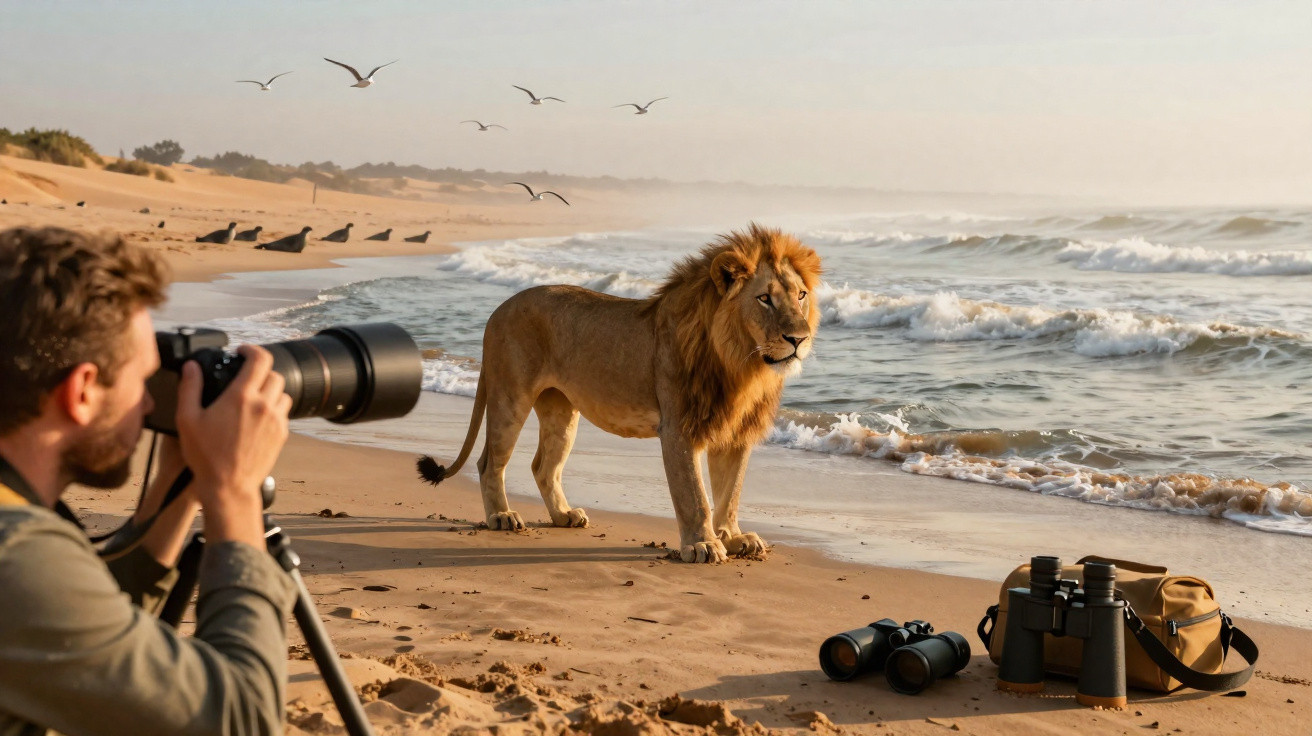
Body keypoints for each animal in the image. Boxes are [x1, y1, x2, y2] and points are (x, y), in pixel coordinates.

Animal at [417, 223, 822, 563]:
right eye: (765, 299)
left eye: (801, 295)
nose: (799, 339)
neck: (743, 365)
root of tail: (497, 311)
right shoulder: (678, 429)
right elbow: (694, 496)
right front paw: (703, 545)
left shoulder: (736, 431)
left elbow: (730, 492)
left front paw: (734, 538)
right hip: (510, 397)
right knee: (489, 462)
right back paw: (502, 516)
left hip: (561, 411)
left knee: (542, 466)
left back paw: (564, 515)